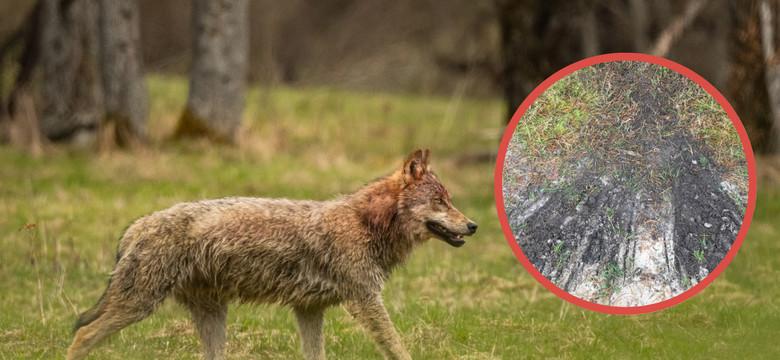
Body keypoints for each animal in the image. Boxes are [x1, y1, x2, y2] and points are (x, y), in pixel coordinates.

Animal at [67, 148, 478, 358]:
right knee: (82, 334)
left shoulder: (309, 309)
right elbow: (398, 348)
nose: (473, 225)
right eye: (440, 202)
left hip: (211, 316)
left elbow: (316, 354)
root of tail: (134, 227)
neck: (365, 222)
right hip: (140, 305)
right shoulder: (365, 300)